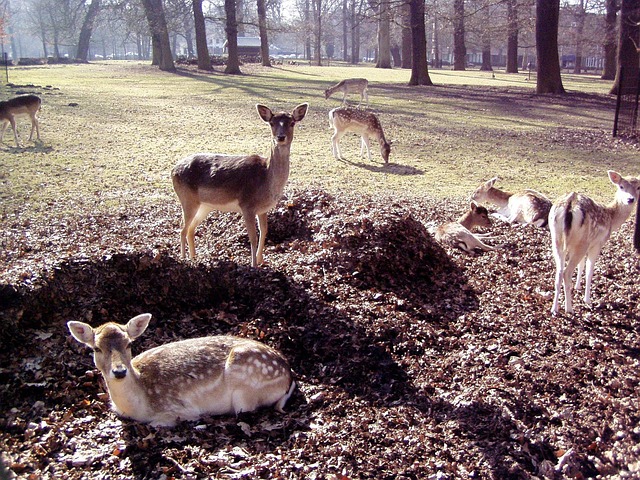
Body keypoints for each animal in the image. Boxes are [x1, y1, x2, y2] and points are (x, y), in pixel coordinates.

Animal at [67, 313, 295, 427]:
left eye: (129, 344)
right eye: (96, 348)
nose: (119, 371)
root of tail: (289, 374)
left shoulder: (179, 409)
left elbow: (156, 423)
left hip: (245, 385)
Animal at [171, 103, 308, 267]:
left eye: (292, 122)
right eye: (272, 123)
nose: (280, 137)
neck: (267, 181)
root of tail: (172, 170)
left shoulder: (263, 209)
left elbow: (264, 231)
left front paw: (261, 260)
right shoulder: (247, 205)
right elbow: (253, 237)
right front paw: (253, 265)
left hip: (205, 205)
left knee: (191, 228)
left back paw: (194, 259)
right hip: (187, 199)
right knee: (182, 228)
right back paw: (184, 259)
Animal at [549, 170, 640, 314]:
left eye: (638, 187)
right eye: (621, 186)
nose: (630, 199)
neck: (611, 219)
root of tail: (569, 204)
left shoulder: (580, 244)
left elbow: (581, 265)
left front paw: (577, 287)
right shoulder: (597, 244)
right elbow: (589, 270)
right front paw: (587, 299)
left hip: (557, 238)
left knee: (559, 271)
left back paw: (554, 309)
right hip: (580, 242)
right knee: (566, 273)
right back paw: (569, 308)